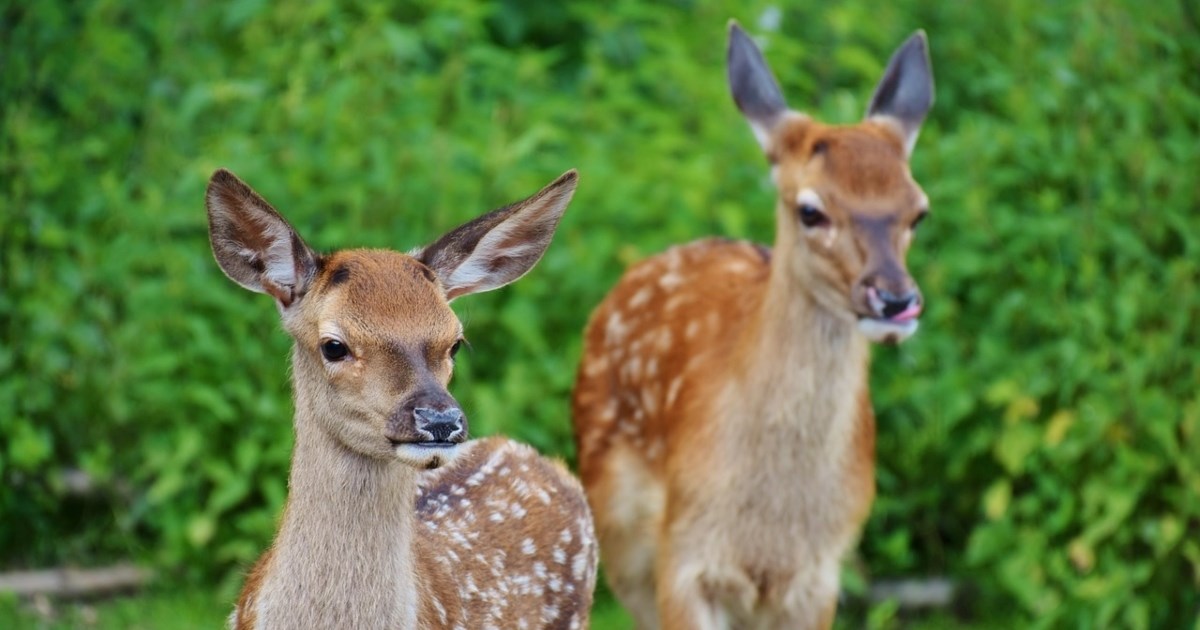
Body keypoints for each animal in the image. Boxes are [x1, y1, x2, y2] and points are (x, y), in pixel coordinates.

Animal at [573, 22, 936, 624]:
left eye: (918, 211)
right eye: (811, 210)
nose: (895, 300)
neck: (769, 527)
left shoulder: (819, 575)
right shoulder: (684, 557)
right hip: (620, 533)